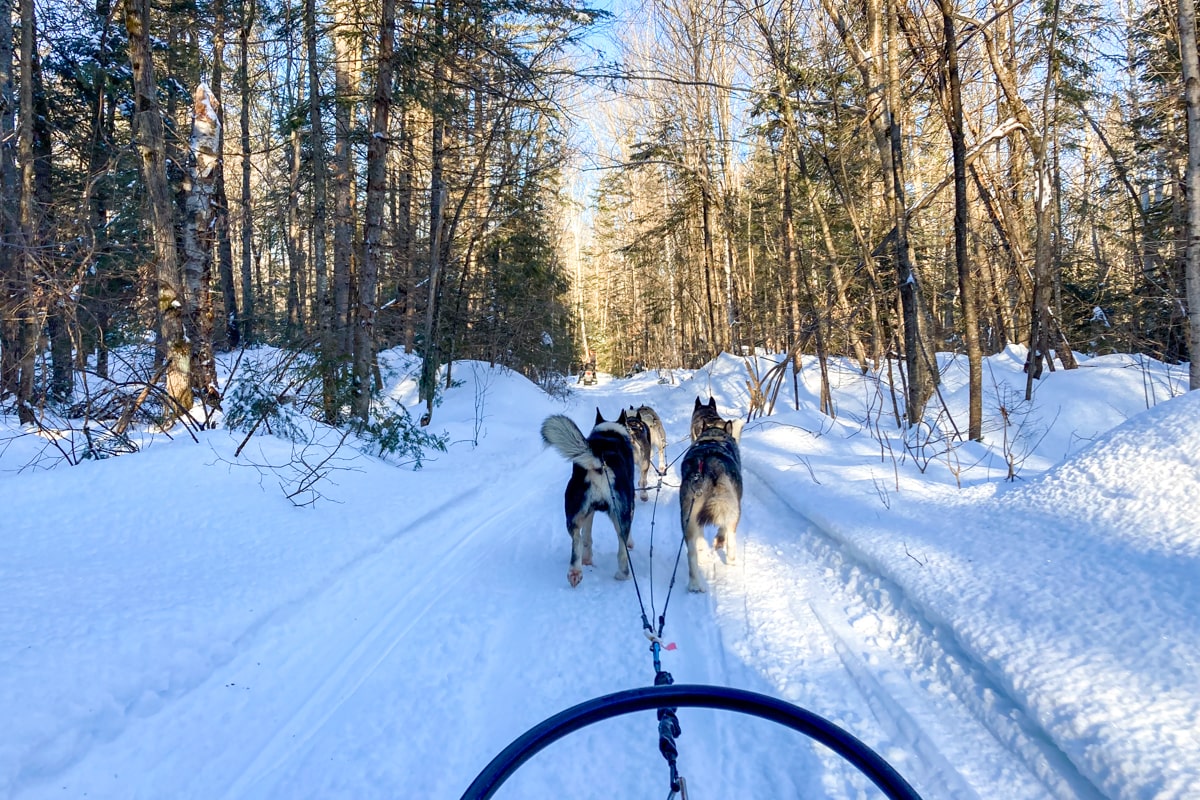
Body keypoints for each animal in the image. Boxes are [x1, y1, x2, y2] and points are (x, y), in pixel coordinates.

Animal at [542, 410, 638, 585]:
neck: (609, 432)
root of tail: (600, 461)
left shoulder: (589, 512)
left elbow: (587, 536)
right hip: (622, 516)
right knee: (622, 550)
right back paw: (623, 574)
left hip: (575, 514)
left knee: (578, 540)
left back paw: (576, 570)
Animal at [681, 419, 744, 594]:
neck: (714, 438)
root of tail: (712, 466)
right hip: (734, 511)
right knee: (730, 537)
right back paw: (731, 559)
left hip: (688, 519)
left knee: (691, 553)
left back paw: (694, 583)